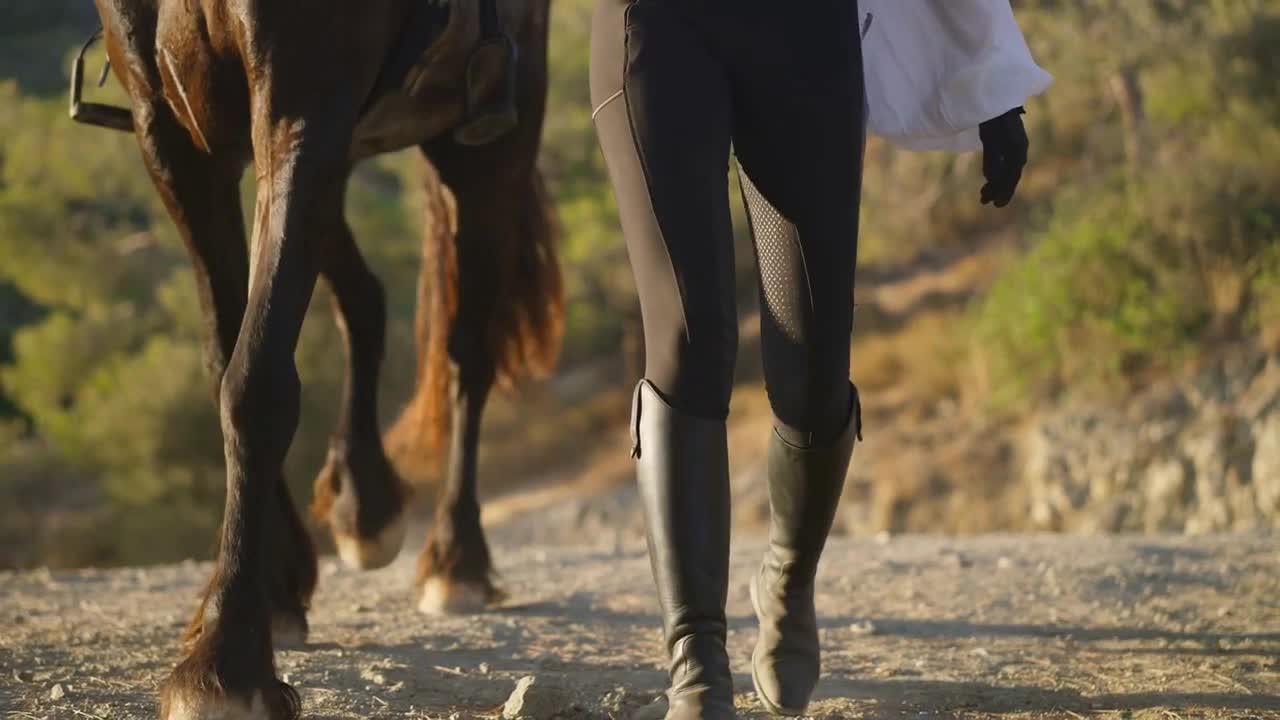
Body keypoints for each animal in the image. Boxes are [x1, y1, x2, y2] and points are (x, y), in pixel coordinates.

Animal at [80, 0, 560, 712]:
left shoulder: (300, 105)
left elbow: (255, 380)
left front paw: (226, 659)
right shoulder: (172, 135)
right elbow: (226, 354)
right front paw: (274, 591)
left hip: (489, 147)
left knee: (466, 355)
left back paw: (457, 562)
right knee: (366, 298)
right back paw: (365, 501)